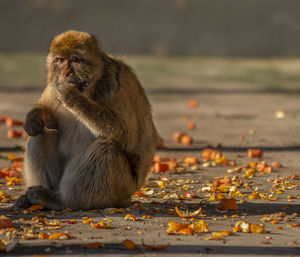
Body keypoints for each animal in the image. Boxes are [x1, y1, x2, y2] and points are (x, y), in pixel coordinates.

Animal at [13, 30, 161, 210]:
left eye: (75, 59)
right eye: (60, 60)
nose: (65, 73)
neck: (90, 87)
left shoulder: (117, 83)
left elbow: (125, 135)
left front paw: (70, 95)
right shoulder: (53, 85)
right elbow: (47, 117)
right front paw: (34, 118)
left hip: (122, 187)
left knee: (104, 148)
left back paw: (62, 201)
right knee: (41, 135)